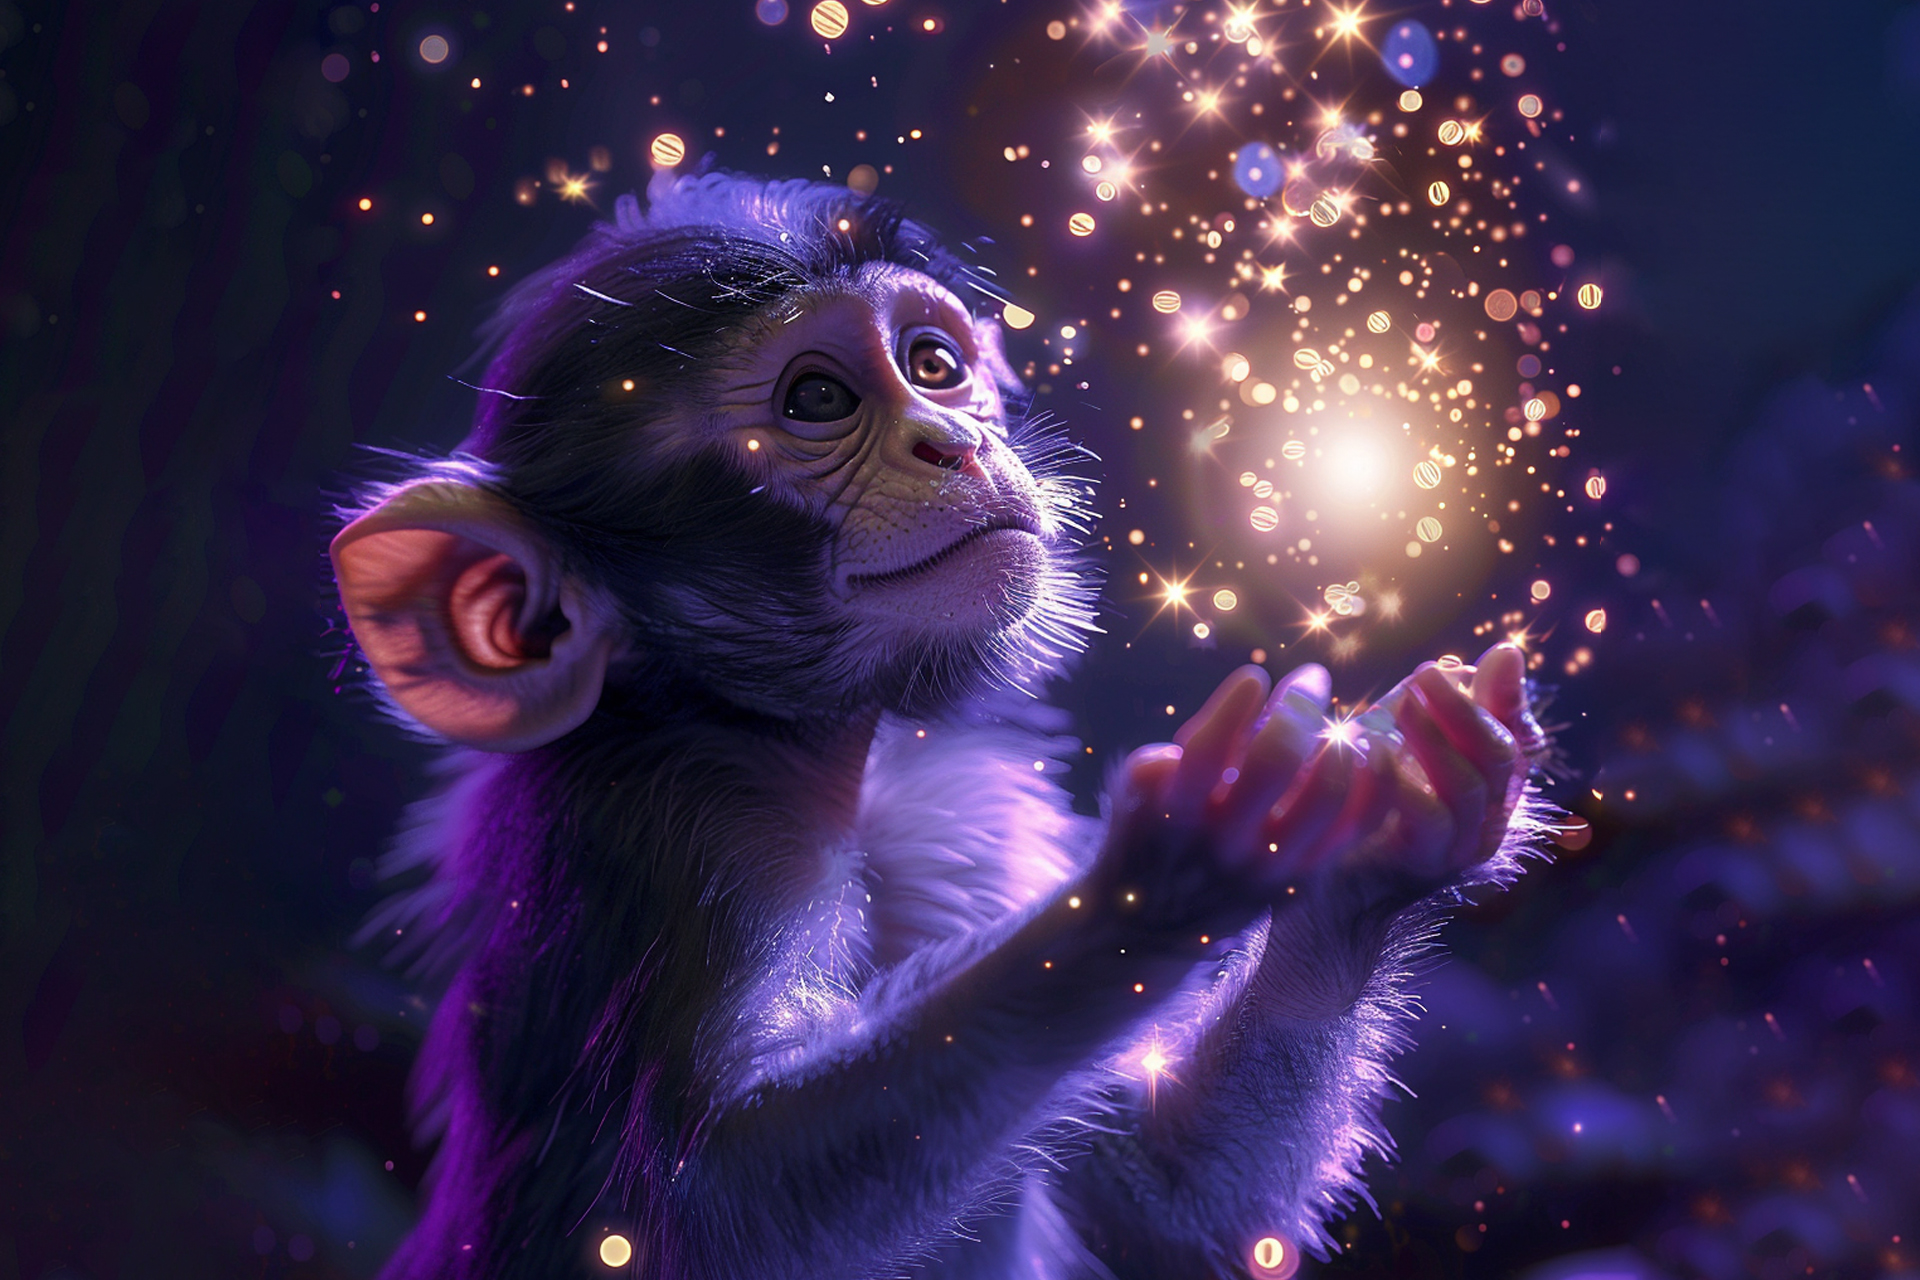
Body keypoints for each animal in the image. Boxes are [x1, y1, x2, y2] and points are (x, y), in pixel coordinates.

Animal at [330, 170, 1549, 1279]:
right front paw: (1165, 878)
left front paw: (1386, 836)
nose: (950, 440)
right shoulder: (685, 831)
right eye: (819, 401)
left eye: (931, 365)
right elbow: (688, 1207)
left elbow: (1164, 1205)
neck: (786, 735)